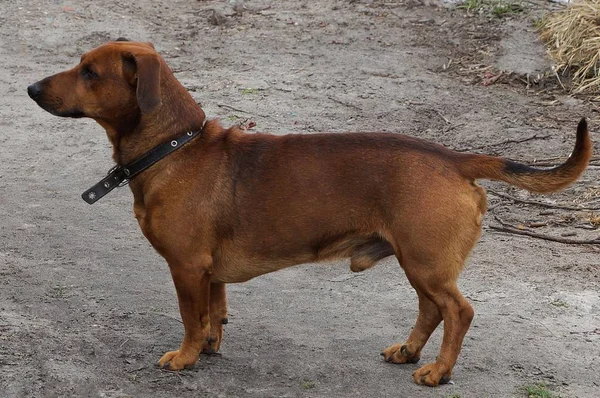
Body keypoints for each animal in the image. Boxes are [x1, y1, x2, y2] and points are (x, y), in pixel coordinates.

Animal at [27, 40, 592, 386]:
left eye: (90, 72)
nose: (31, 89)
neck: (174, 147)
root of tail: (454, 157)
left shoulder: (186, 268)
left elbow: (191, 317)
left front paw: (185, 357)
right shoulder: (209, 272)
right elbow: (214, 312)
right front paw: (209, 347)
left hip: (426, 263)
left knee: (458, 312)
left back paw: (437, 372)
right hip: (419, 263)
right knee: (432, 311)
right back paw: (409, 353)